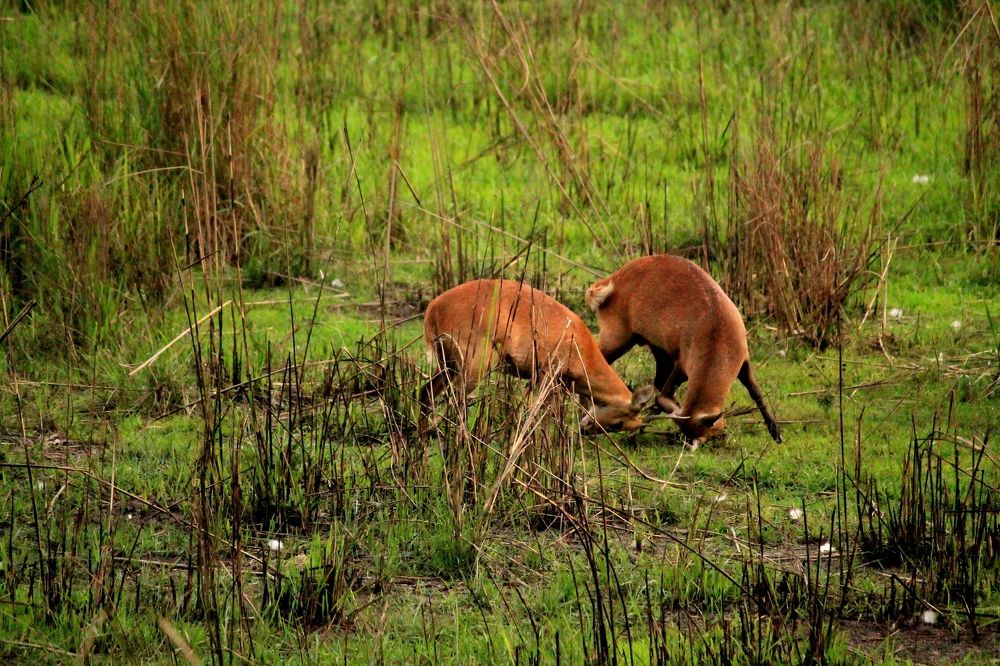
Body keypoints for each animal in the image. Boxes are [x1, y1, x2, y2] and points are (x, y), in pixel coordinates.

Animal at [419, 279, 655, 436]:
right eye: (618, 423)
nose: (585, 429)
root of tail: (433, 308)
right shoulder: (546, 375)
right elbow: (542, 415)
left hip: (448, 365)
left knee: (426, 391)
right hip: (474, 365)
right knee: (456, 399)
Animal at [585, 255, 782, 448]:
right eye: (712, 431)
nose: (723, 433)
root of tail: (609, 281)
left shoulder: (743, 360)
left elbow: (756, 392)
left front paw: (776, 433)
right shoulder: (682, 364)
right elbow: (664, 393)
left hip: (655, 345)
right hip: (618, 336)